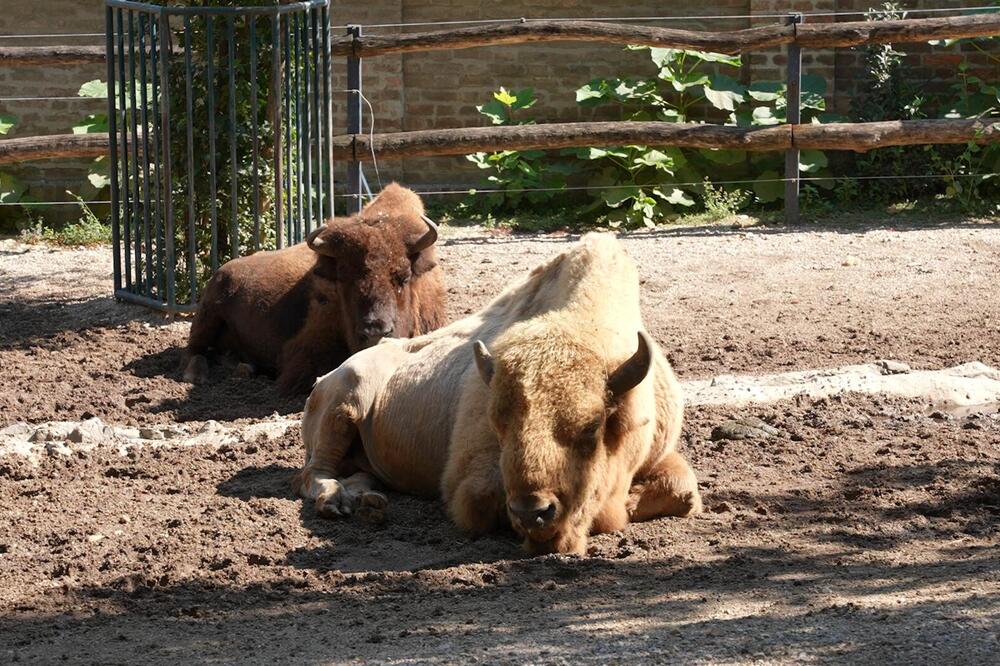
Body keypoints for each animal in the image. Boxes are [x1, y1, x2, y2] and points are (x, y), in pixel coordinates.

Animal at [181, 184, 446, 394]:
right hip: (207, 315)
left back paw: (242, 365)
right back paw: (198, 375)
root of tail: (222, 271)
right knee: (194, 350)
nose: (375, 331)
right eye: (342, 279)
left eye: (403, 277)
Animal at [292, 231, 700, 552]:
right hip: (343, 403)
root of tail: (325, 378)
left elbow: (684, 493)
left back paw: (367, 502)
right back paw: (337, 501)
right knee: (313, 472)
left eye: (592, 427)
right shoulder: (469, 479)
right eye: (498, 425)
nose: (533, 513)